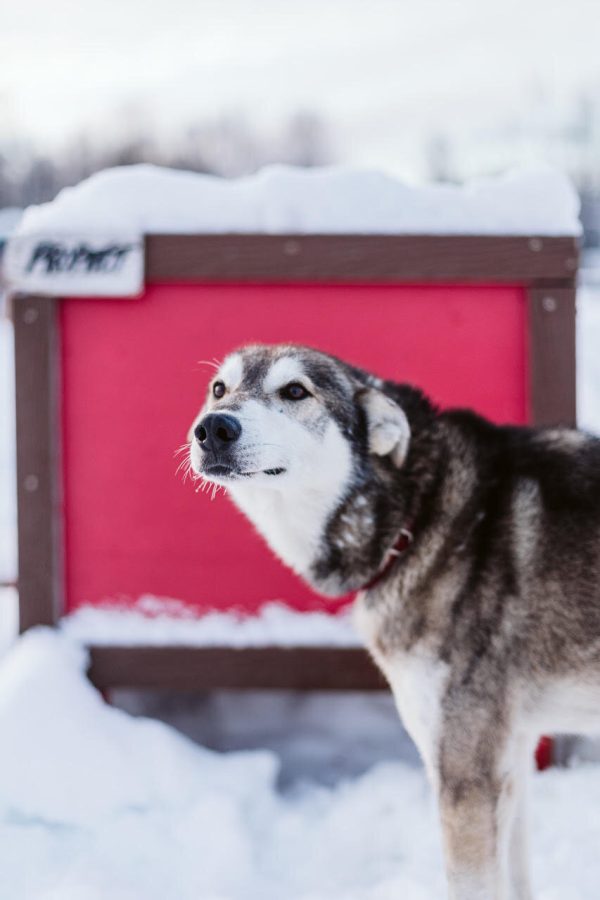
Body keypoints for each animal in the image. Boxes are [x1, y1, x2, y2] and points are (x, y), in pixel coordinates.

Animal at [190, 342, 600, 896]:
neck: (417, 515)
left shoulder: (466, 775)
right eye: (219, 389)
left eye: (295, 391)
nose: (213, 427)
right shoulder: (510, 757)